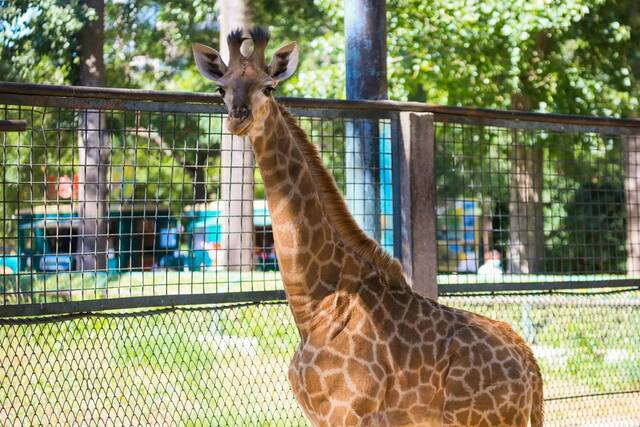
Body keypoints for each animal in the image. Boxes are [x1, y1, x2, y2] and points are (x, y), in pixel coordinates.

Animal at [192, 27, 544, 427]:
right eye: (221, 89)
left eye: (268, 88)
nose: (238, 118)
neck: (314, 305)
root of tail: (531, 368)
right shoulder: (320, 416)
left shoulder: (348, 414)